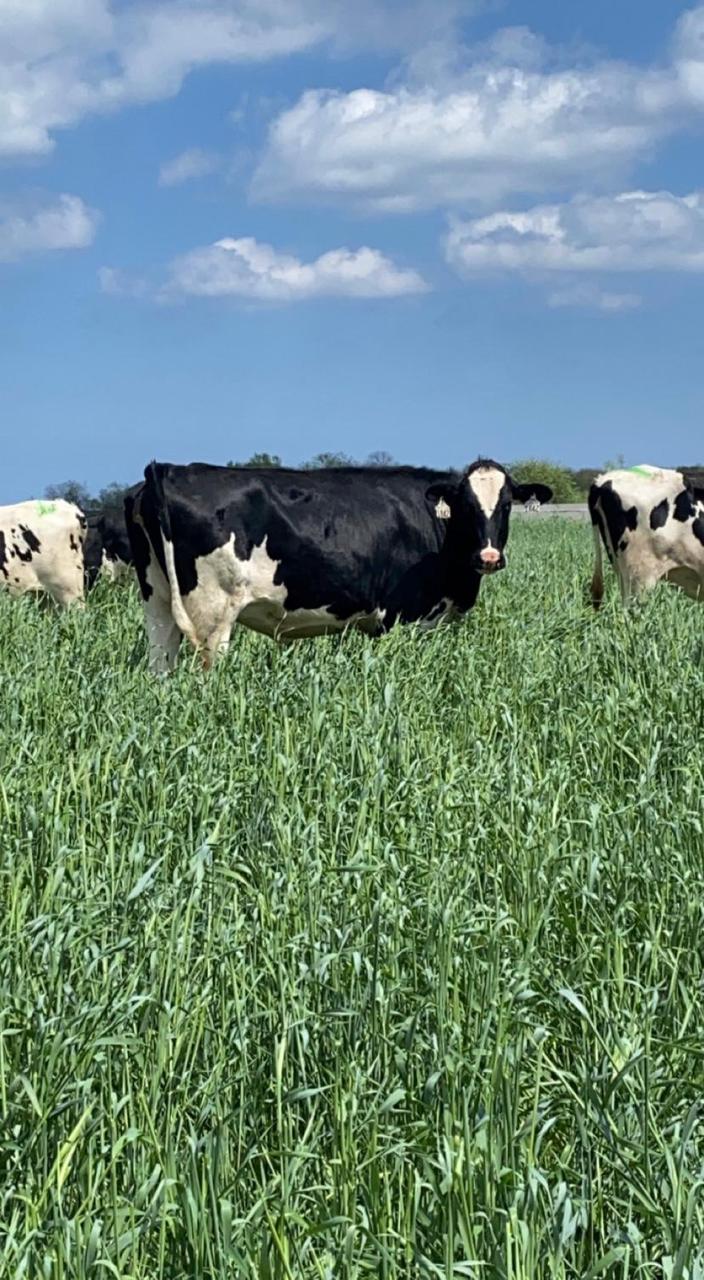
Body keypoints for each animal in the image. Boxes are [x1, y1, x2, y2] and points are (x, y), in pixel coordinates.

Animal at [125, 459, 552, 673]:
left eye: (507, 505)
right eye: (465, 505)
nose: (489, 557)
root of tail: (168, 468)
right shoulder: (403, 619)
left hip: (157, 600)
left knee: (160, 664)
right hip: (212, 613)